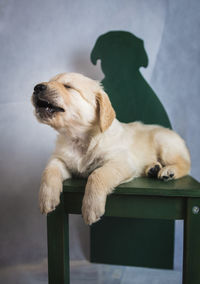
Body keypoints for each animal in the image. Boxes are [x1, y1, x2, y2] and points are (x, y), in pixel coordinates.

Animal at [31, 72, 191, 225]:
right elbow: (49, 170)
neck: (80, 139)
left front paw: (91, 208)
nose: (37, 87)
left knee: (185, 164)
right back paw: (153, 168)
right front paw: (46, 198)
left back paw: (168, 171)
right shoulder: (61, 159)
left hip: (164, 142)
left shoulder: (122, 161)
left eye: (68, 86)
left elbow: (97, 174)